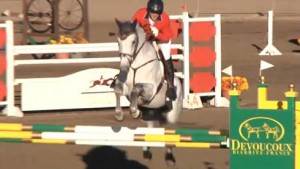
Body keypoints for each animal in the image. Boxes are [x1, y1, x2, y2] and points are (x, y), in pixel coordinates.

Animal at [113, 18, 182, 165]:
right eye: (118, 41)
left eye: (133, 41)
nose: (124, 67)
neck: (135, 65)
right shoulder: (125, 89)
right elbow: (118, 89)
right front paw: (119, 114)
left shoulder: (150, 90)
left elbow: (136, 89)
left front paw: (134, 112)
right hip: (150, 113)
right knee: (150, 129)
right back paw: (147, 153)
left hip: (172, 115)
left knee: (169, 132)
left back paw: (169, 158)